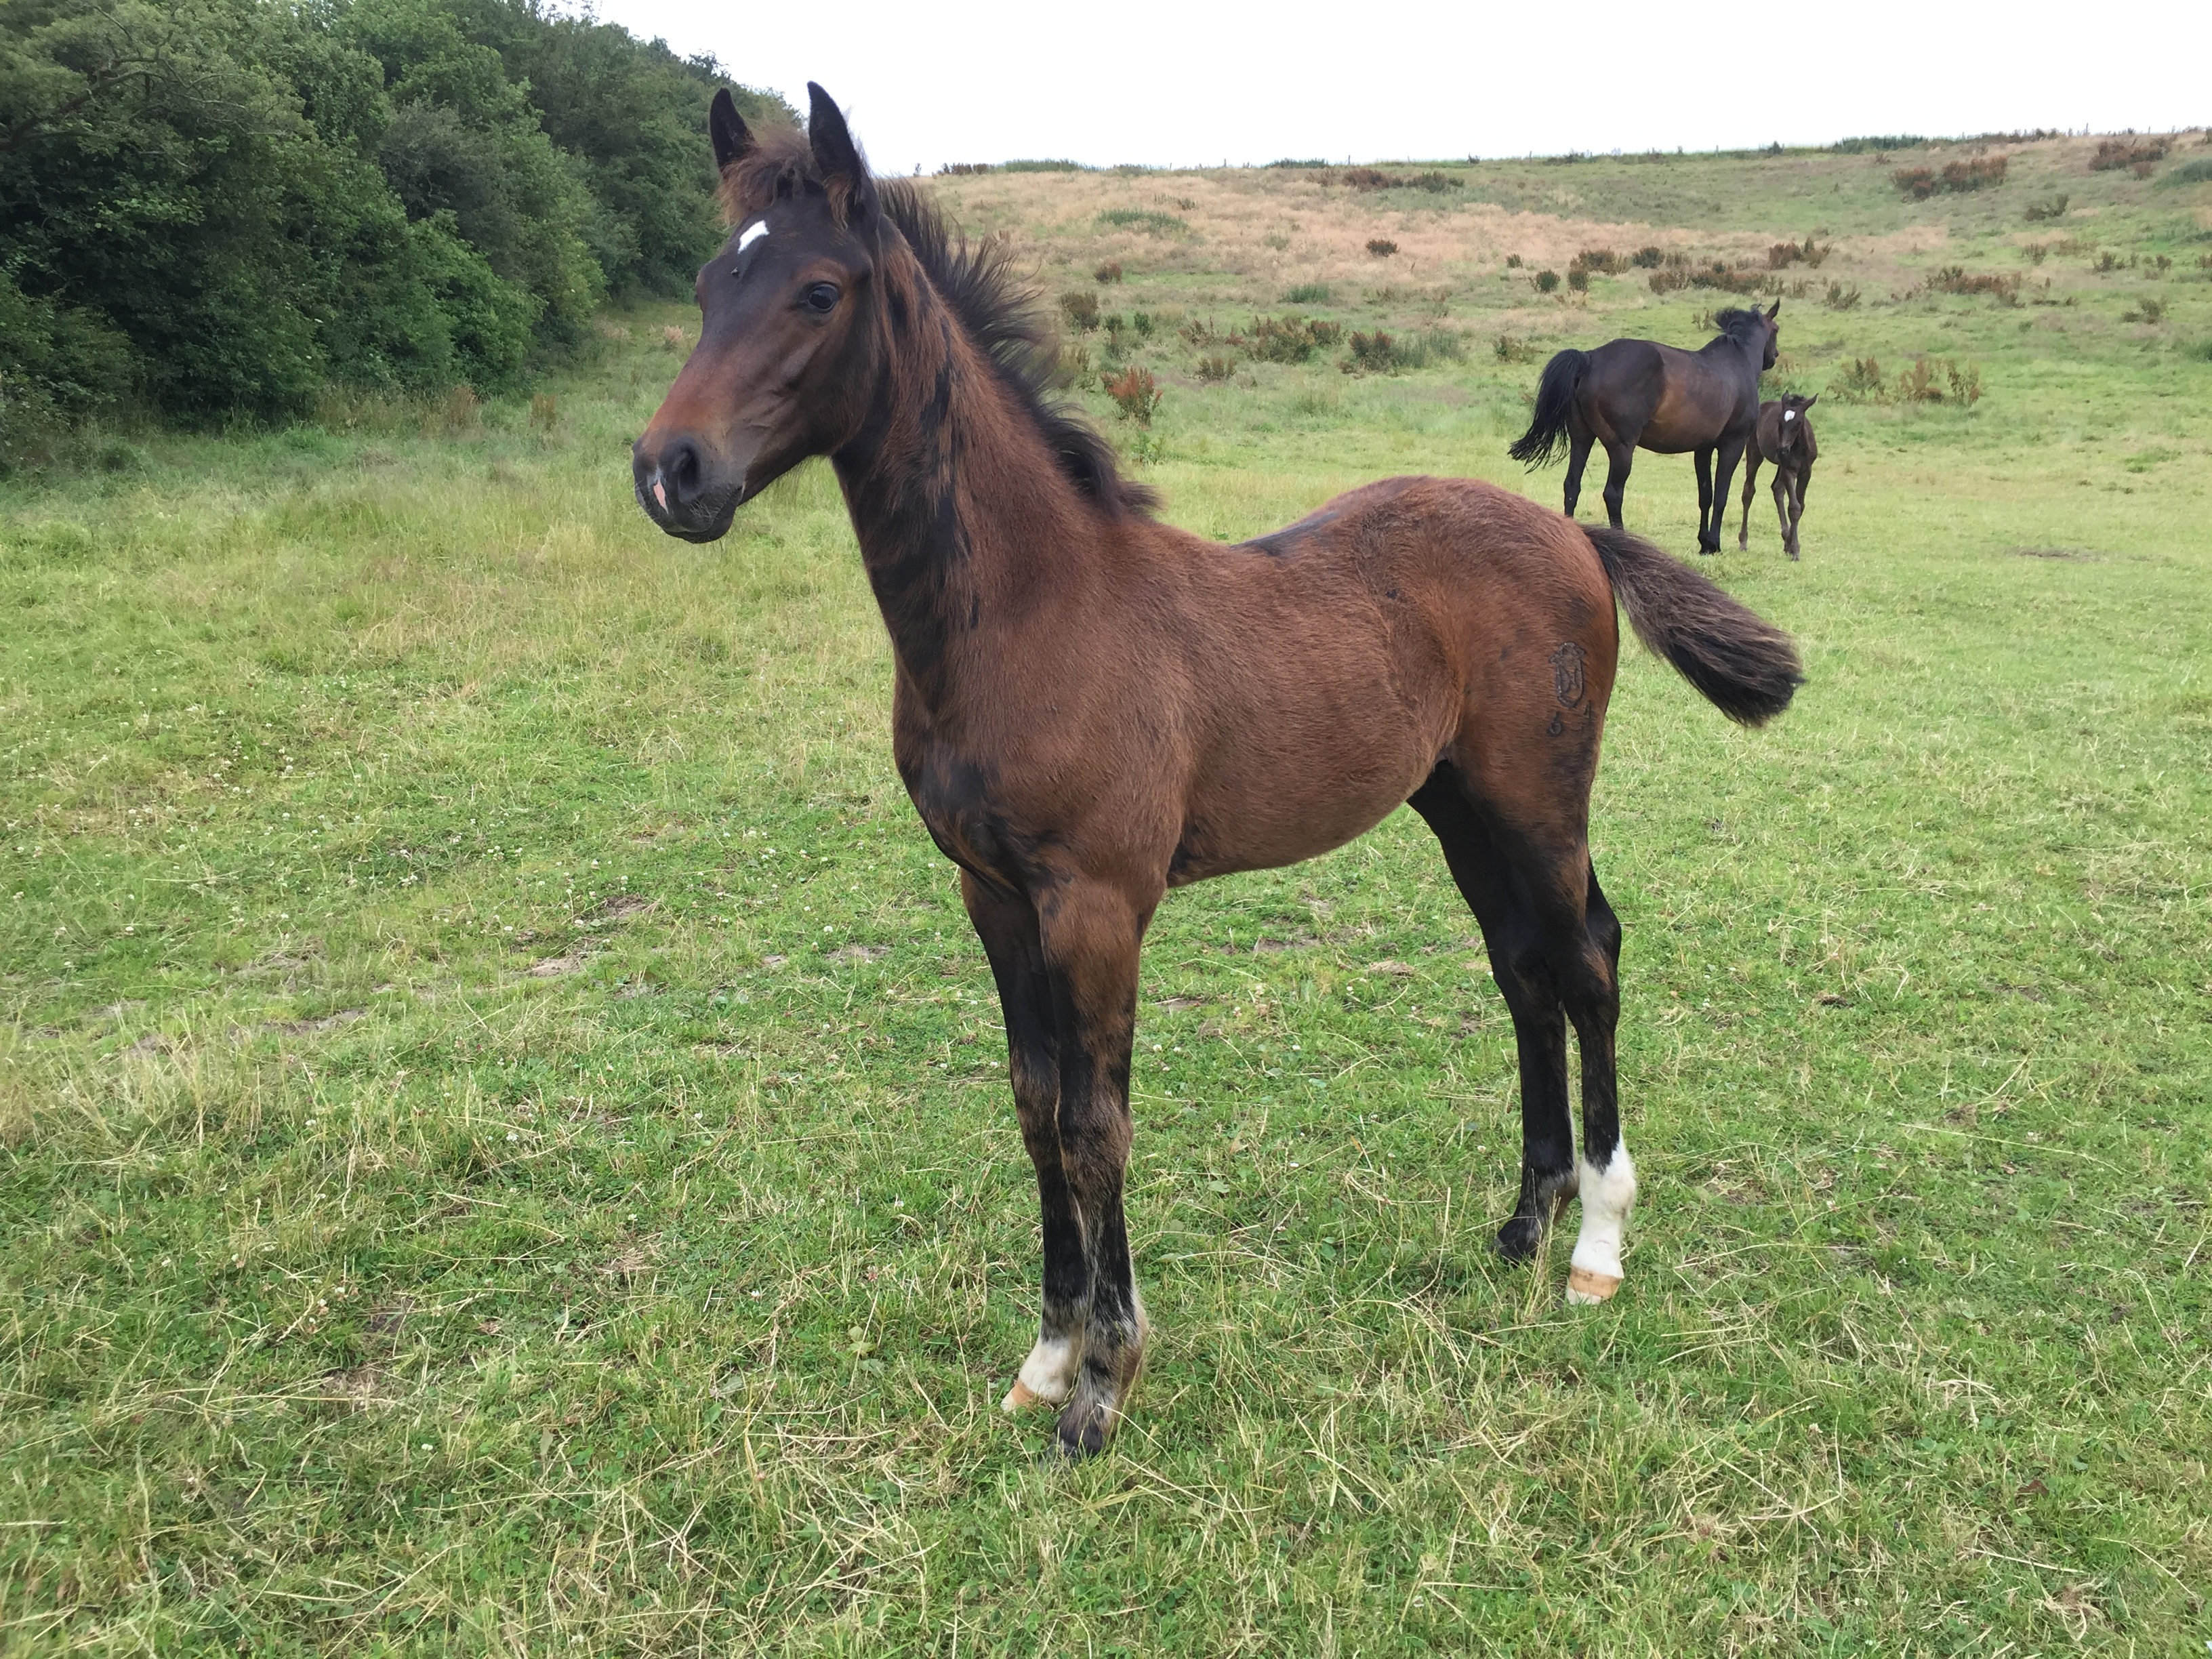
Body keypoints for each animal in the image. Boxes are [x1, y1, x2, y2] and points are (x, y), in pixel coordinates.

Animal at [1508, 305, 1781, 555]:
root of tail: (1590, 358)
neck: (1736, 364)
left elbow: (1706, 495)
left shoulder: (1702, 449)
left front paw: (1704, 543)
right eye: (1776, 329)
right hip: (1621, 448)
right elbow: (1721, 495)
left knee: (1572, 486)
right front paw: (1714, 544)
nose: (1774, 356)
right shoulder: (1733, 444)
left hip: (1582, 439)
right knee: (1613, 493)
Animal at [1738, 395, 1818, 560]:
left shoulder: (1806, 471)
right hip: (1755, 453)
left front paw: (1790, 545)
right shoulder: (1789, 469)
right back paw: (1743, 542)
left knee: (1777, 488)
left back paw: (1786, 536)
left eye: (1799, 423)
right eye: (1779, 422)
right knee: (1748, 492)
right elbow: (1794, 507)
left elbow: (1801, 505)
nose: (1782, 450)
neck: (1798, 448)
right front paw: (1795, 550)